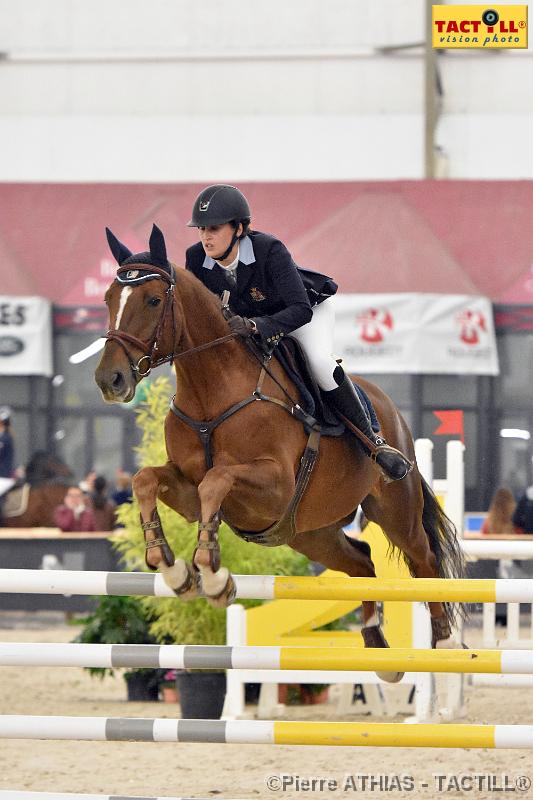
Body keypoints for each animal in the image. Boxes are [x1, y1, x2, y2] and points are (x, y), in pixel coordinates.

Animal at [96, 225, 466, 680]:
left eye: (152, 300)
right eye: (109, 298)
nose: (109, 380)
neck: (212, 393)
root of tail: (389, 408)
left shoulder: (274, 486)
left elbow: (217, 480)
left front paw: (213, 575)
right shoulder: (187, 491)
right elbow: (146, 479)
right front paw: (174, 568)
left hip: (395, 509)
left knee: (425, 560)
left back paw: (445, 643)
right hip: (309, 533)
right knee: (362, 563)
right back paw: (376, 644)